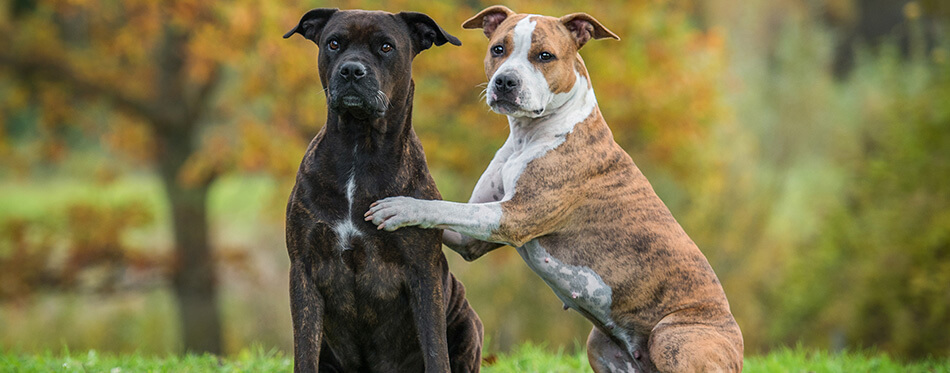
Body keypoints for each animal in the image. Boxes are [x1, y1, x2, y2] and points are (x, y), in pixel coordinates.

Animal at [278, 8, 480, 372]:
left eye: (386, 47)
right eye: (334, 43)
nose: (351, 69)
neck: (360, 148)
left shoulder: (423, 274)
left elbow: (436, 351)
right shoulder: (304, 270)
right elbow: (305, 351)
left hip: (466, 320)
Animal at [368, 6, 748, 372]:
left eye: (545, 56)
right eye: (498, 49)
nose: (505, 81)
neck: (530, 134)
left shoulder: (513, 216)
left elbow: (445, 206)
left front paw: (400, 206)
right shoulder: (470, 240)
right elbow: (449, 213)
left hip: (673, 339)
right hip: (599, 347)